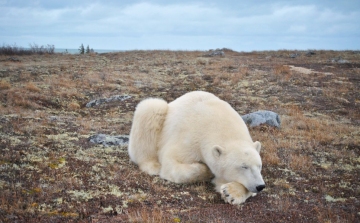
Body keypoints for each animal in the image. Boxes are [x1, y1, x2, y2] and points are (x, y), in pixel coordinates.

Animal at [128, 90, 266, 204]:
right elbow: (171, 162)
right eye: (244, 166)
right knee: (151, 108)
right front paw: (207, 171)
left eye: (259, 166)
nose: (260, 186)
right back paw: (152, 165)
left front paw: (230, 192)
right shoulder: (189, 138)